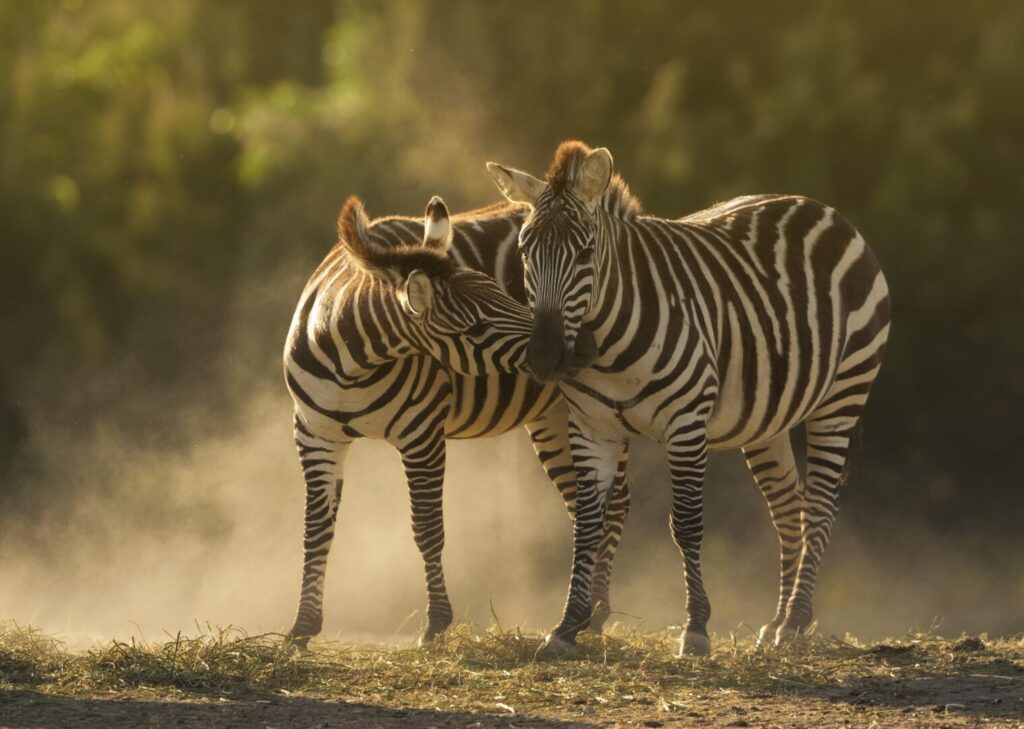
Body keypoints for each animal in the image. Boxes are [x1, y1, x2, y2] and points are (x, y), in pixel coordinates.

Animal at [283, 193, 630, 648]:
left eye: (506, 294)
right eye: (476, 328)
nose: (583, 349)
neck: (351, 363)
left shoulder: (422, 433)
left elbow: (427, 528)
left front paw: (435, 624)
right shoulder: (315, 435)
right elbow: (315, 530)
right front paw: (302, 627)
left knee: (616, 503)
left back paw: (599, 612)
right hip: (553, 416)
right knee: (583, 505)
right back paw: (587, 610)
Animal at [487, 140, 891, 657]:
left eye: (585, 252)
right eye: (524, 251)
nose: (545, 357)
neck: (609, 345)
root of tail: (820, 207)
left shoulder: (685, 423)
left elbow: (686, 524)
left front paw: (696, 628)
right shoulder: (592, 428)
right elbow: (587, 524)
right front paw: (567, 626)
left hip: (842, 394)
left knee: (819, 504)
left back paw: (796, 623)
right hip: (769, 419)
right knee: (789, 508)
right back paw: (778, 622)